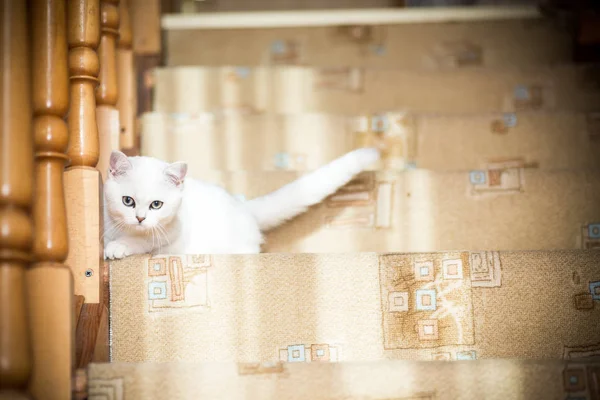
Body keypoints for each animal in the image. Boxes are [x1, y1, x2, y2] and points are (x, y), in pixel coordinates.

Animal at [103, 148, 380, 260]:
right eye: (128, 201)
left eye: (156, 205)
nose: (140, 218)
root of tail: (243, 207)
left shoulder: (170, 234)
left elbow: (142, 242)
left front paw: (118, 247)